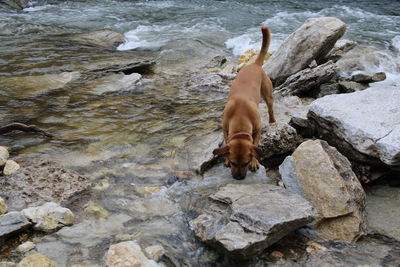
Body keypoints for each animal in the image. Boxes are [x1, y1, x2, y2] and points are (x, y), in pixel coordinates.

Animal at [212, 26, 276, 180]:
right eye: (233, 163)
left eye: (246, 163)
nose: (239, 178)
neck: (240, 115)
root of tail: (254, 65)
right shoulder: (225, 129)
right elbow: (226, 142)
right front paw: (225, 159)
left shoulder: (258, 130)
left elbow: (255, 145)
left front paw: (255, 161)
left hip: (267, 95)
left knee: (270, 109)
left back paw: (272, 121)